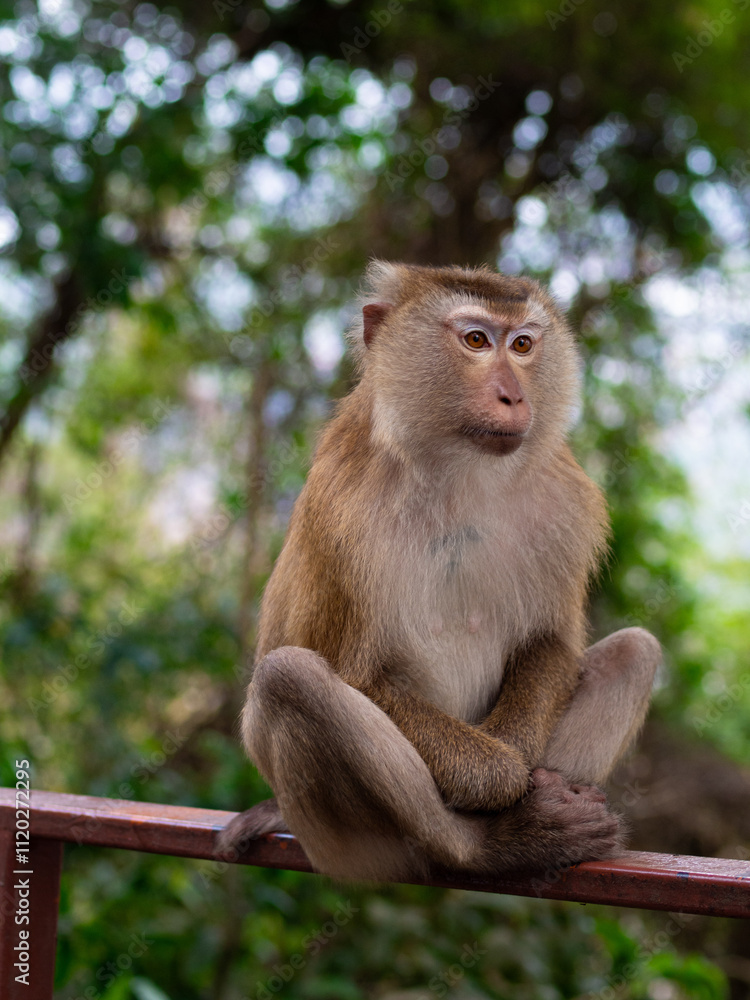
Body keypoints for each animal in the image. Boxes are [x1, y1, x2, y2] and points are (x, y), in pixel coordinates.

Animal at [217, 261, 661, 882]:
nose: (513, 395)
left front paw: (514, 746)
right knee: (289, 678)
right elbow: (357, 675)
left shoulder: (565, 500)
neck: (459, 472)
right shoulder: (341, 514)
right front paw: (497, 771)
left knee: (635, 651)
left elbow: (551, 642)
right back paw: (498, 844)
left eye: (522, 345)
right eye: (475, 340)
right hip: (347, 849)